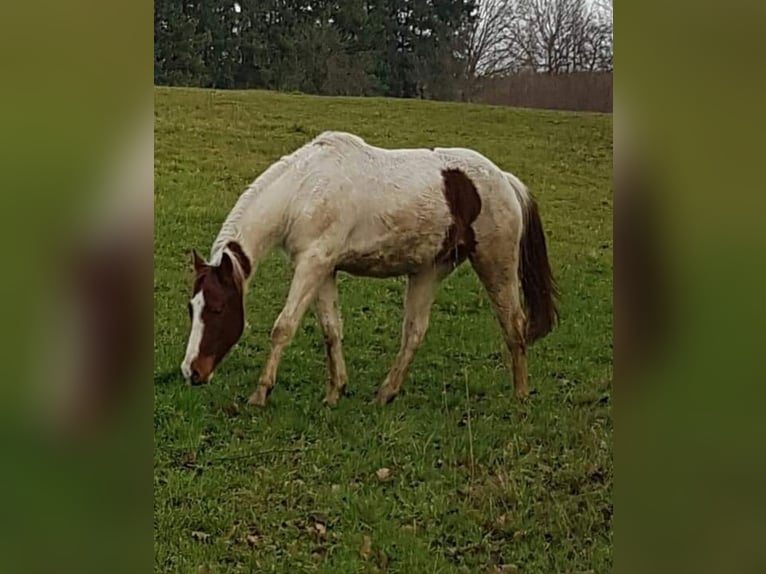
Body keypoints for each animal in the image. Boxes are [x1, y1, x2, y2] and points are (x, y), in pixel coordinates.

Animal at [181, 131, 558, 406]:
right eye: (192, 308)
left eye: (217, 308)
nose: (191, 372)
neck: (303, 189)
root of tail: (504, 179)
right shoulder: (322, 269)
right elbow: (331, 330)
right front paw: (335, 392)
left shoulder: (312, 265)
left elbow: (283, 327)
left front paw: (260, 394)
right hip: (428, 271)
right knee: (415, 332)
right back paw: (385, 394)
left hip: (496, 264)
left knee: (514, 325)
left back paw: (520, 396)